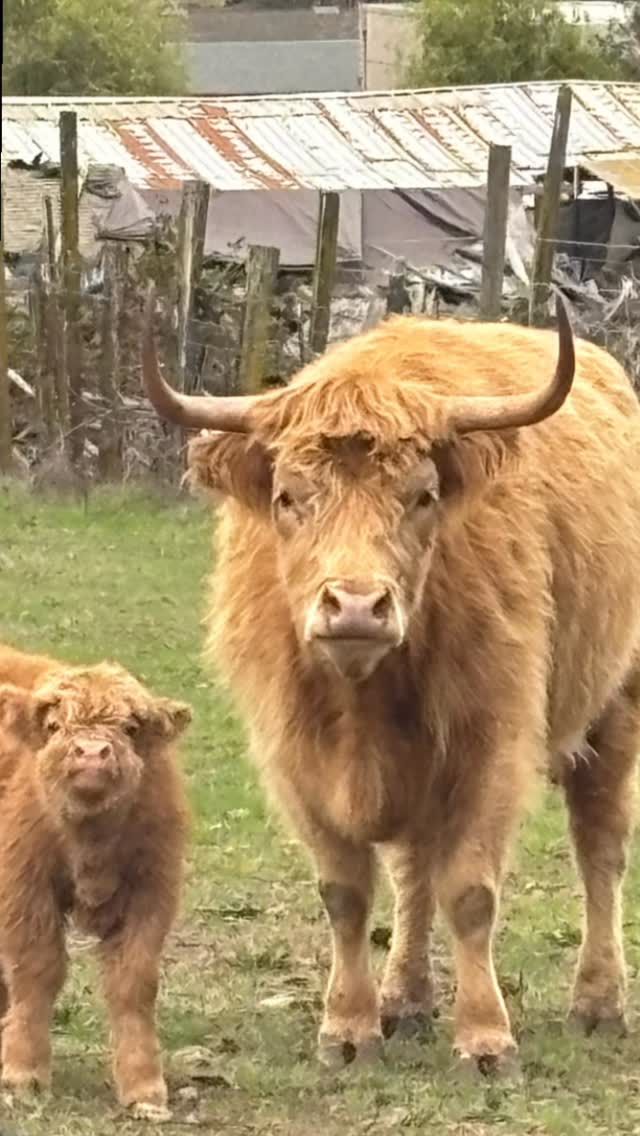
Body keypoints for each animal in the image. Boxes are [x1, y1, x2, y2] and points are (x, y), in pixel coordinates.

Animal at [0, 644, 191, 1118]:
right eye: (54, 726)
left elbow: (133, 983)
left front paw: (144, 1088)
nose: (89, 752)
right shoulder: (23, 888)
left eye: (129, 727)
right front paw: (23, 1073)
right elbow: (36, 969)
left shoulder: (151, 892)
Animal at [142, 290, 640, 1075]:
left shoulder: (489, 743)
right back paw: (405, 998)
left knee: (601, 847)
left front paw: (486, 1039)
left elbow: (470, 890)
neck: (364, 698)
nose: (355, 605)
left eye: (422, 495)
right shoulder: (295, 756)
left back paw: (598, 1003)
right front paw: (350, 1027)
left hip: (615, 707)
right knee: (413, 872)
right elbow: (348, 892)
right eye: (289, 496)